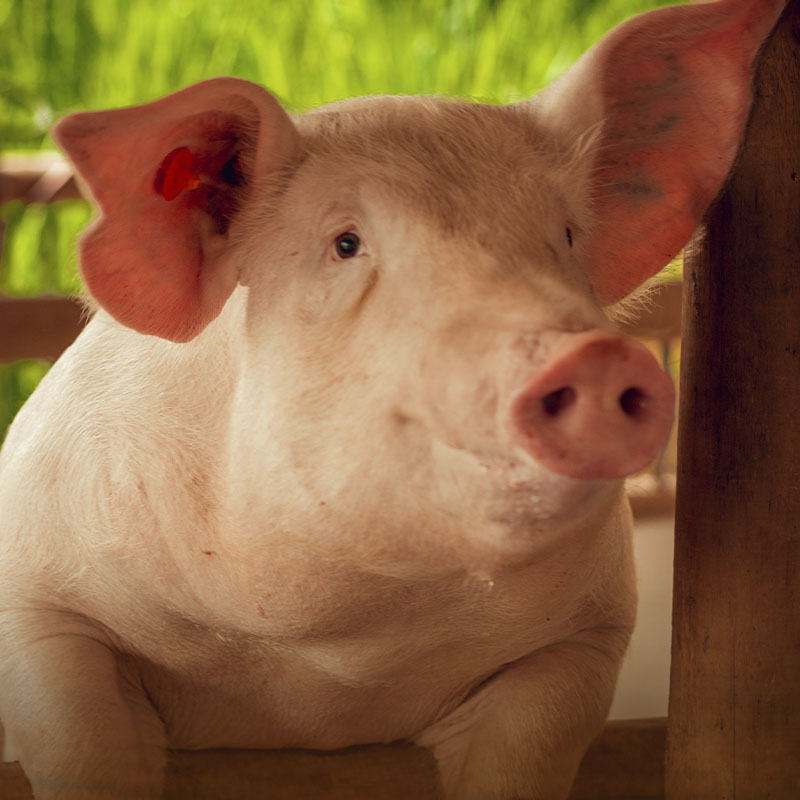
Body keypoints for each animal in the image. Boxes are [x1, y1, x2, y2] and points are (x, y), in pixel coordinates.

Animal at [0, 0, 785, 797]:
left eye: (565, 236)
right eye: (346, 244)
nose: (592, 354)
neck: (326, 653)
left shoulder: (579, 640)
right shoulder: (38, 606)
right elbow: (80, 745)